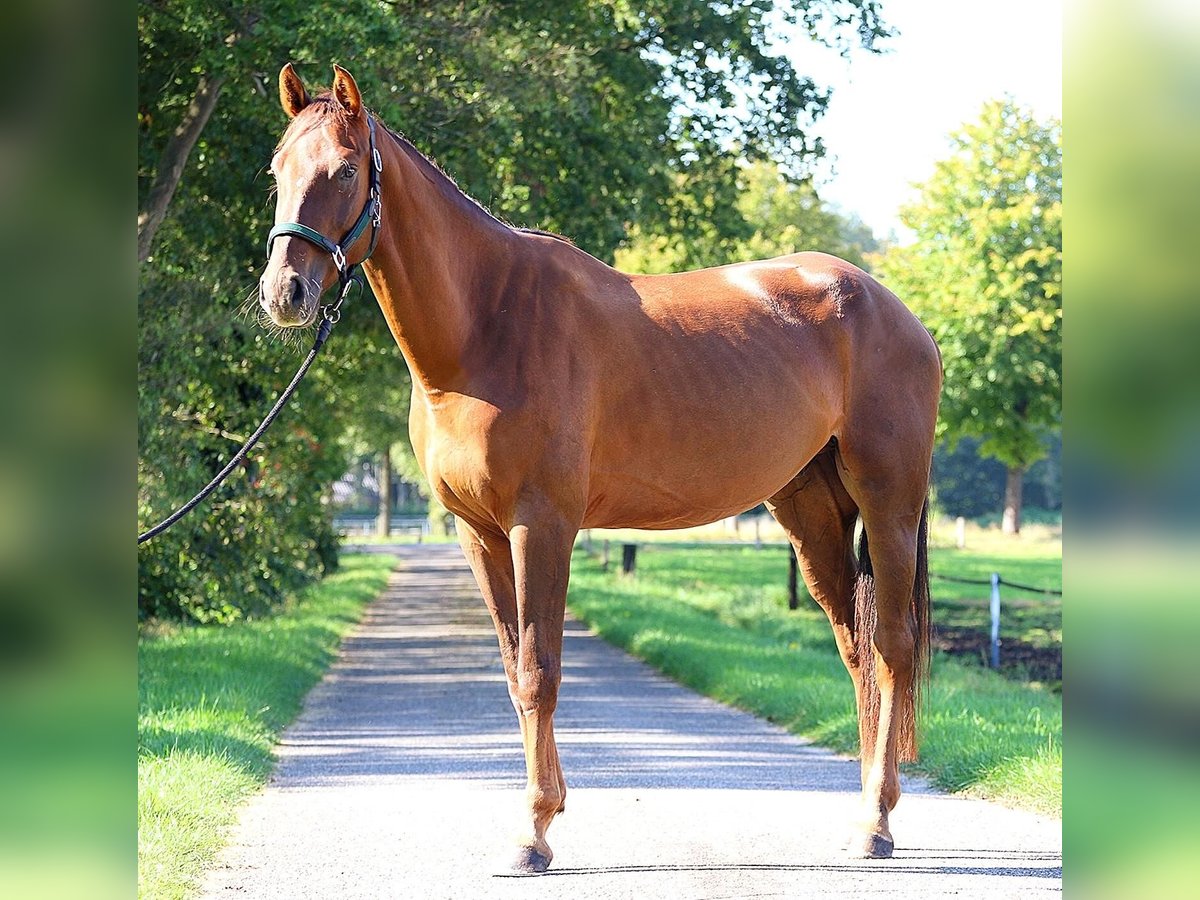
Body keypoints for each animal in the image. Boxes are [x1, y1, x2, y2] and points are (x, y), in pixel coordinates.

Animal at [260, 66, 936, 878]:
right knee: (857, 651)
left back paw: (878, 823)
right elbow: (514, 671)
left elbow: (539, 671)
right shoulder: (477, 533)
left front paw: (533, 834)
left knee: (892, 647)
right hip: (811, 512)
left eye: (344, 170)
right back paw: (863, 814)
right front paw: (540, 818)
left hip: (889, 504)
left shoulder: (541, 524)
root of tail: (888, 307)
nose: (285, 293)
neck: (487, 325)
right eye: (277, 171)